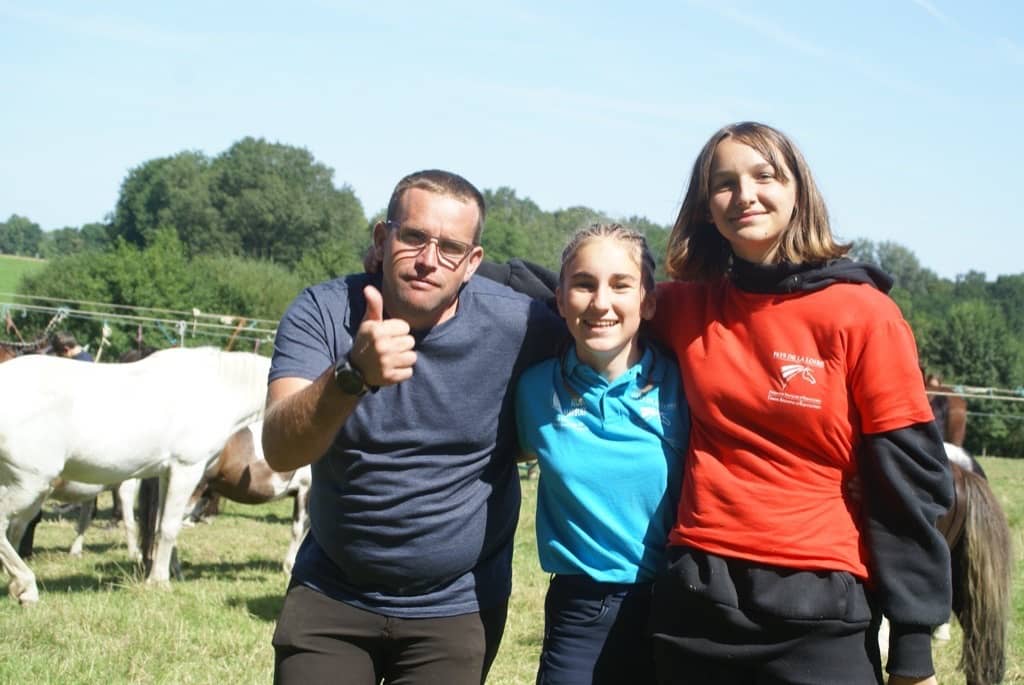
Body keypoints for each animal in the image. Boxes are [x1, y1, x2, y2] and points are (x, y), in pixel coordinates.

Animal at [0, 348, 270, 602]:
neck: (218, 389)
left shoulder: (167, 473)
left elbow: (160, 525)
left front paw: (169, 571)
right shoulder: (186, 469)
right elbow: (170, 526)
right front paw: (159, 582)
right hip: (31, 483)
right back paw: (26, 586)